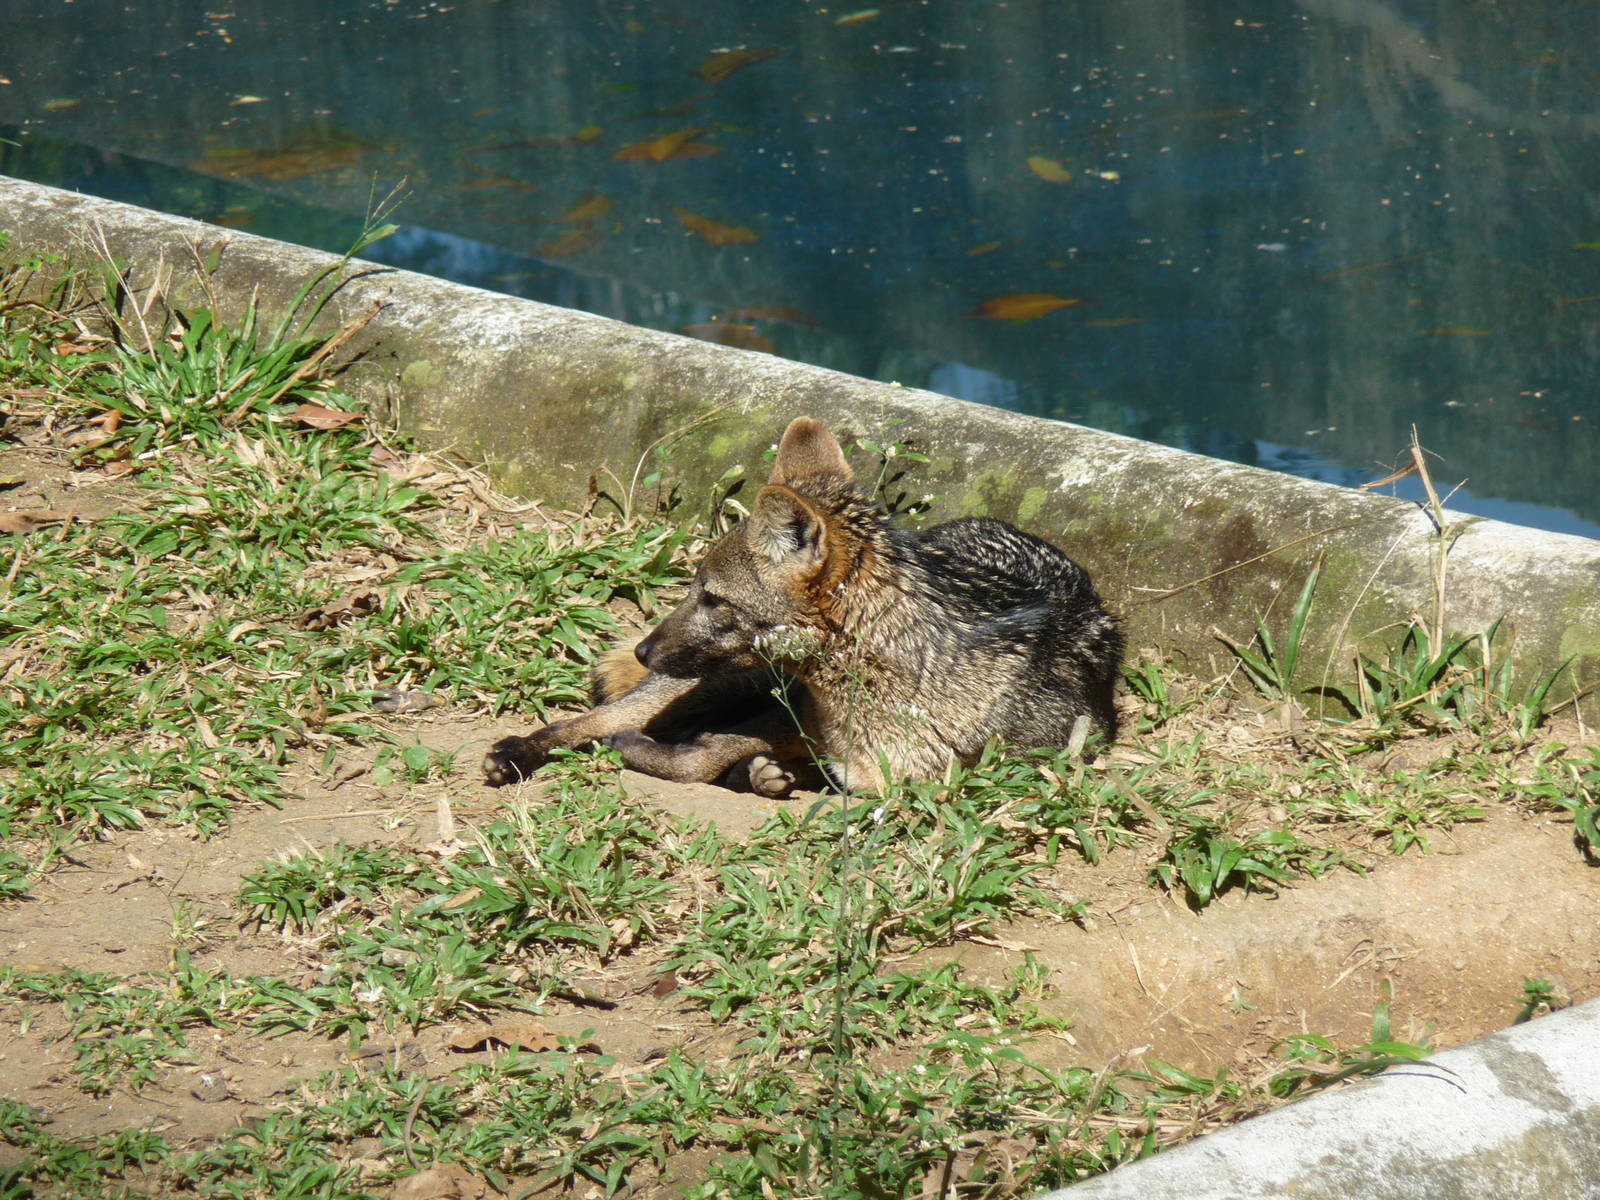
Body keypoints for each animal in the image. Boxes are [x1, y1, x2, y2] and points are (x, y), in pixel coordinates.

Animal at [482, 416, 1122, 794]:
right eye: (694, 589)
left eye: (711, 597)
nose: (643, 649)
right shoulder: (791, 719)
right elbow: (701, 753)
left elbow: (717, 754)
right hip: (719, 684)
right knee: (602, 717)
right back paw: (520, 752)